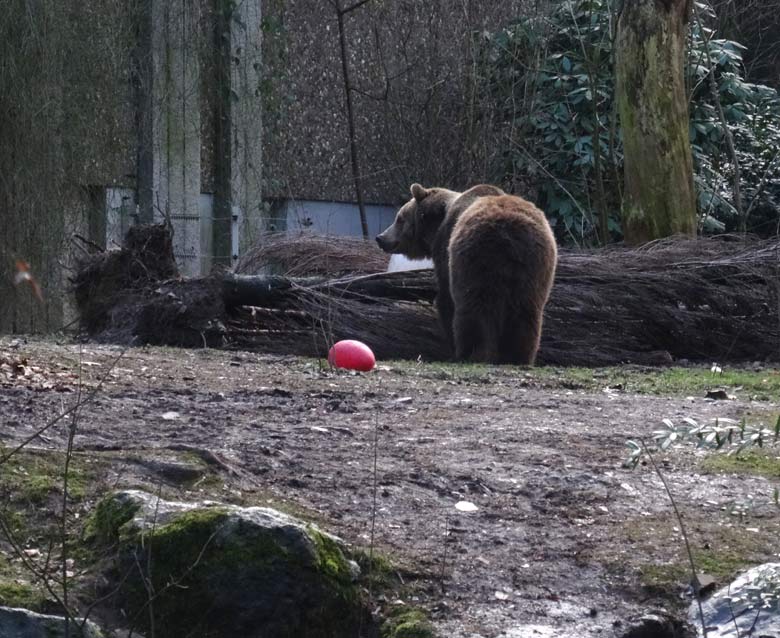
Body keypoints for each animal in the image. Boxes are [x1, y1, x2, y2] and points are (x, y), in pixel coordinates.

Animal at [376, 184, 556, 364]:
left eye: (399, 218)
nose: (380, 238)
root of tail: (511, 234)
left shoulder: (445, 248)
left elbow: (445, 297)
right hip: (535, 266)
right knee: (525, 311)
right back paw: (518, 356)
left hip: (477, 257)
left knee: (474, 307)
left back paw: (470, 353)